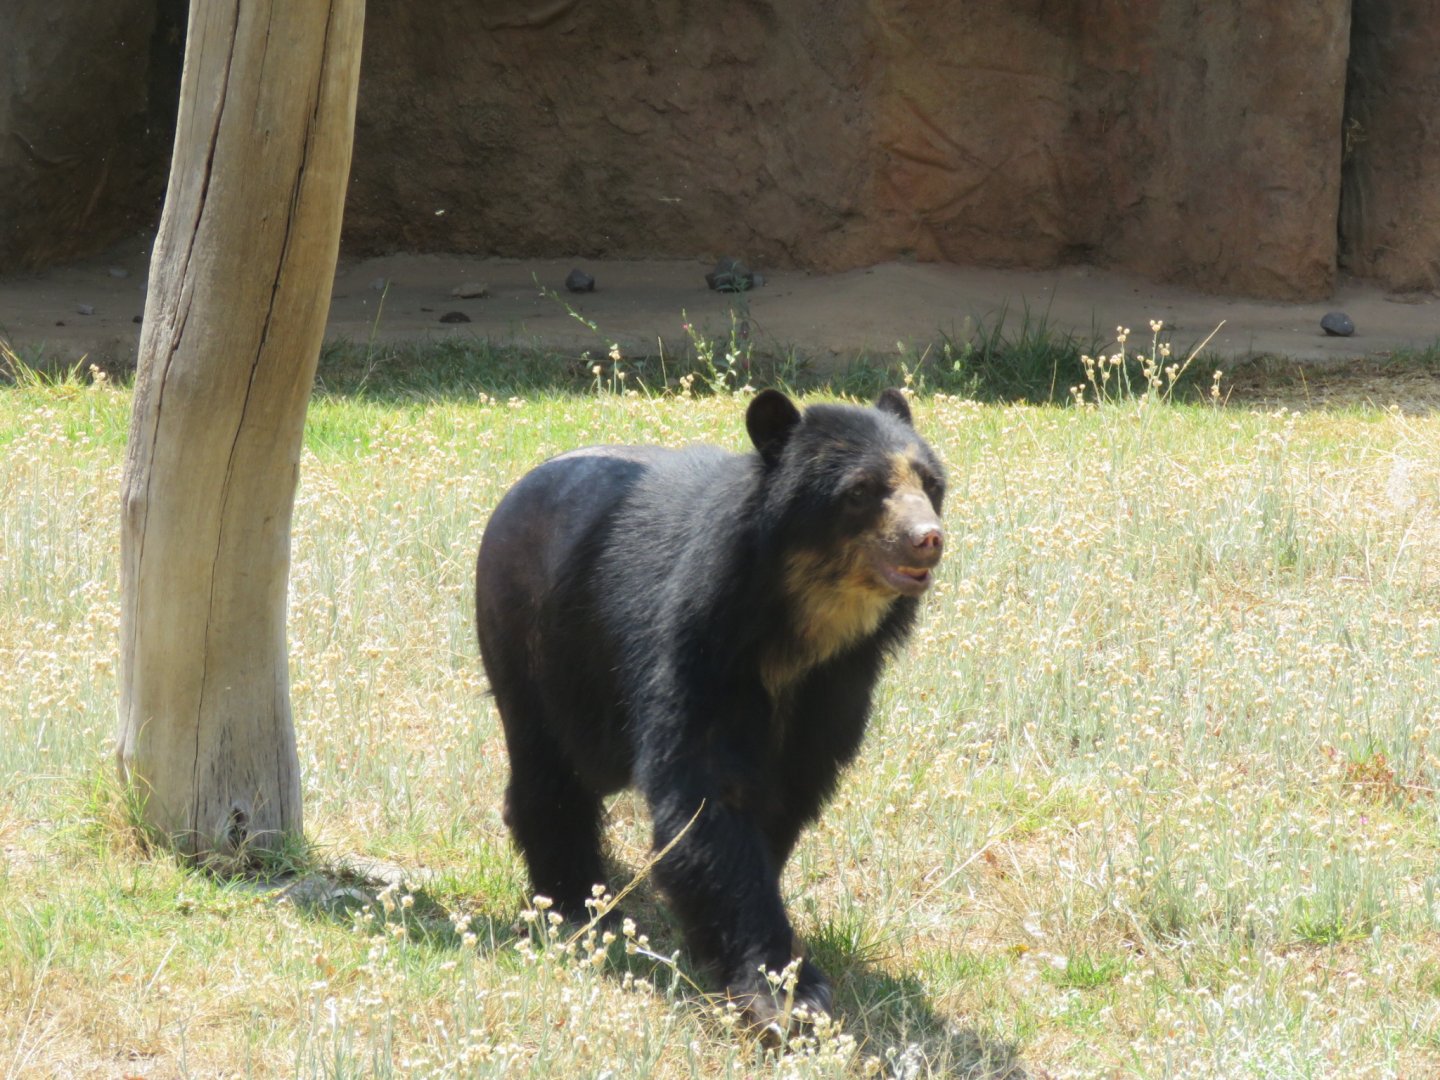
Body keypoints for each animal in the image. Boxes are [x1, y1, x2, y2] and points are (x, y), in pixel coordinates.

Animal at [474, 388, 945, 1029]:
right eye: (861, 491)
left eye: (930, 483)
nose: (928, 537)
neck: (800, 629)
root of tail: (518, 488)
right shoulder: (699, 646)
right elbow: (707, 800)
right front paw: (783, 995)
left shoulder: (835, 687)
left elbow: (784, 797)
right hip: (530, 636)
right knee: (547, 764)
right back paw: (571, 900)